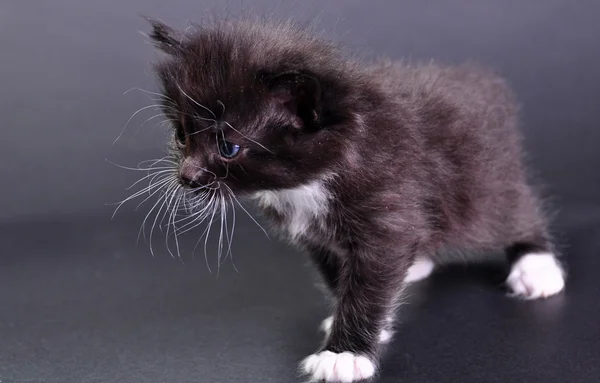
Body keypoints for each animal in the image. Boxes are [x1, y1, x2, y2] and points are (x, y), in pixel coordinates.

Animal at [143, 18, 564, 383]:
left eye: (228, 148)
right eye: (182, 135)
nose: (187, 176)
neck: (310, 182)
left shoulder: (387, 210)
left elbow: (367, 284)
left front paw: (343, 355)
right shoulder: (318, 237)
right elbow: (341, 276)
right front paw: (362, 325)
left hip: (481, 190)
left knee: (516, 210)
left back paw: (537, 267)